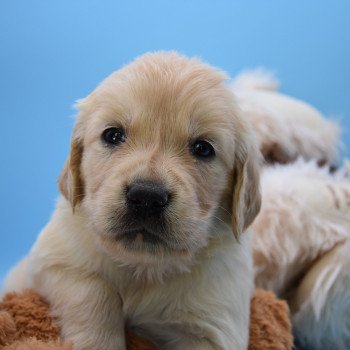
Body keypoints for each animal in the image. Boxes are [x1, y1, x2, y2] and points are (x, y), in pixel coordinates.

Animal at [2, 52, 260, 350]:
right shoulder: (51, 261)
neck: (143, 267)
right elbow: (95, 292)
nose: (146, 197)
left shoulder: (216, 325)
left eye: (203, 149)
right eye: (113, 135)